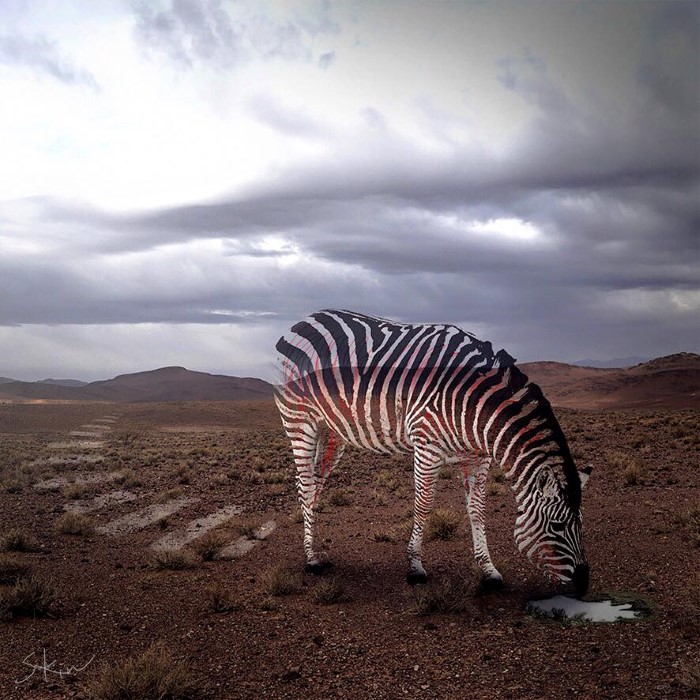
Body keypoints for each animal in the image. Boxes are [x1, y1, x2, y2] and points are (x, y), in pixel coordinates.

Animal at [274, 312, 592, 596]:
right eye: (557, 526)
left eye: (581, 523)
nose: (584, 583)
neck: (473, 406)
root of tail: (305, 319)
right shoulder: (427, 446)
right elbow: (423, 505)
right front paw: (415, 567)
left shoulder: (477, 457)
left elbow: (478, 510)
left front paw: (488, 570)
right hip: (300, 422)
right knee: (305, 485)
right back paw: (310, 559)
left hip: (333, 433)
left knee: (313, 484)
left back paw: (315, 549)